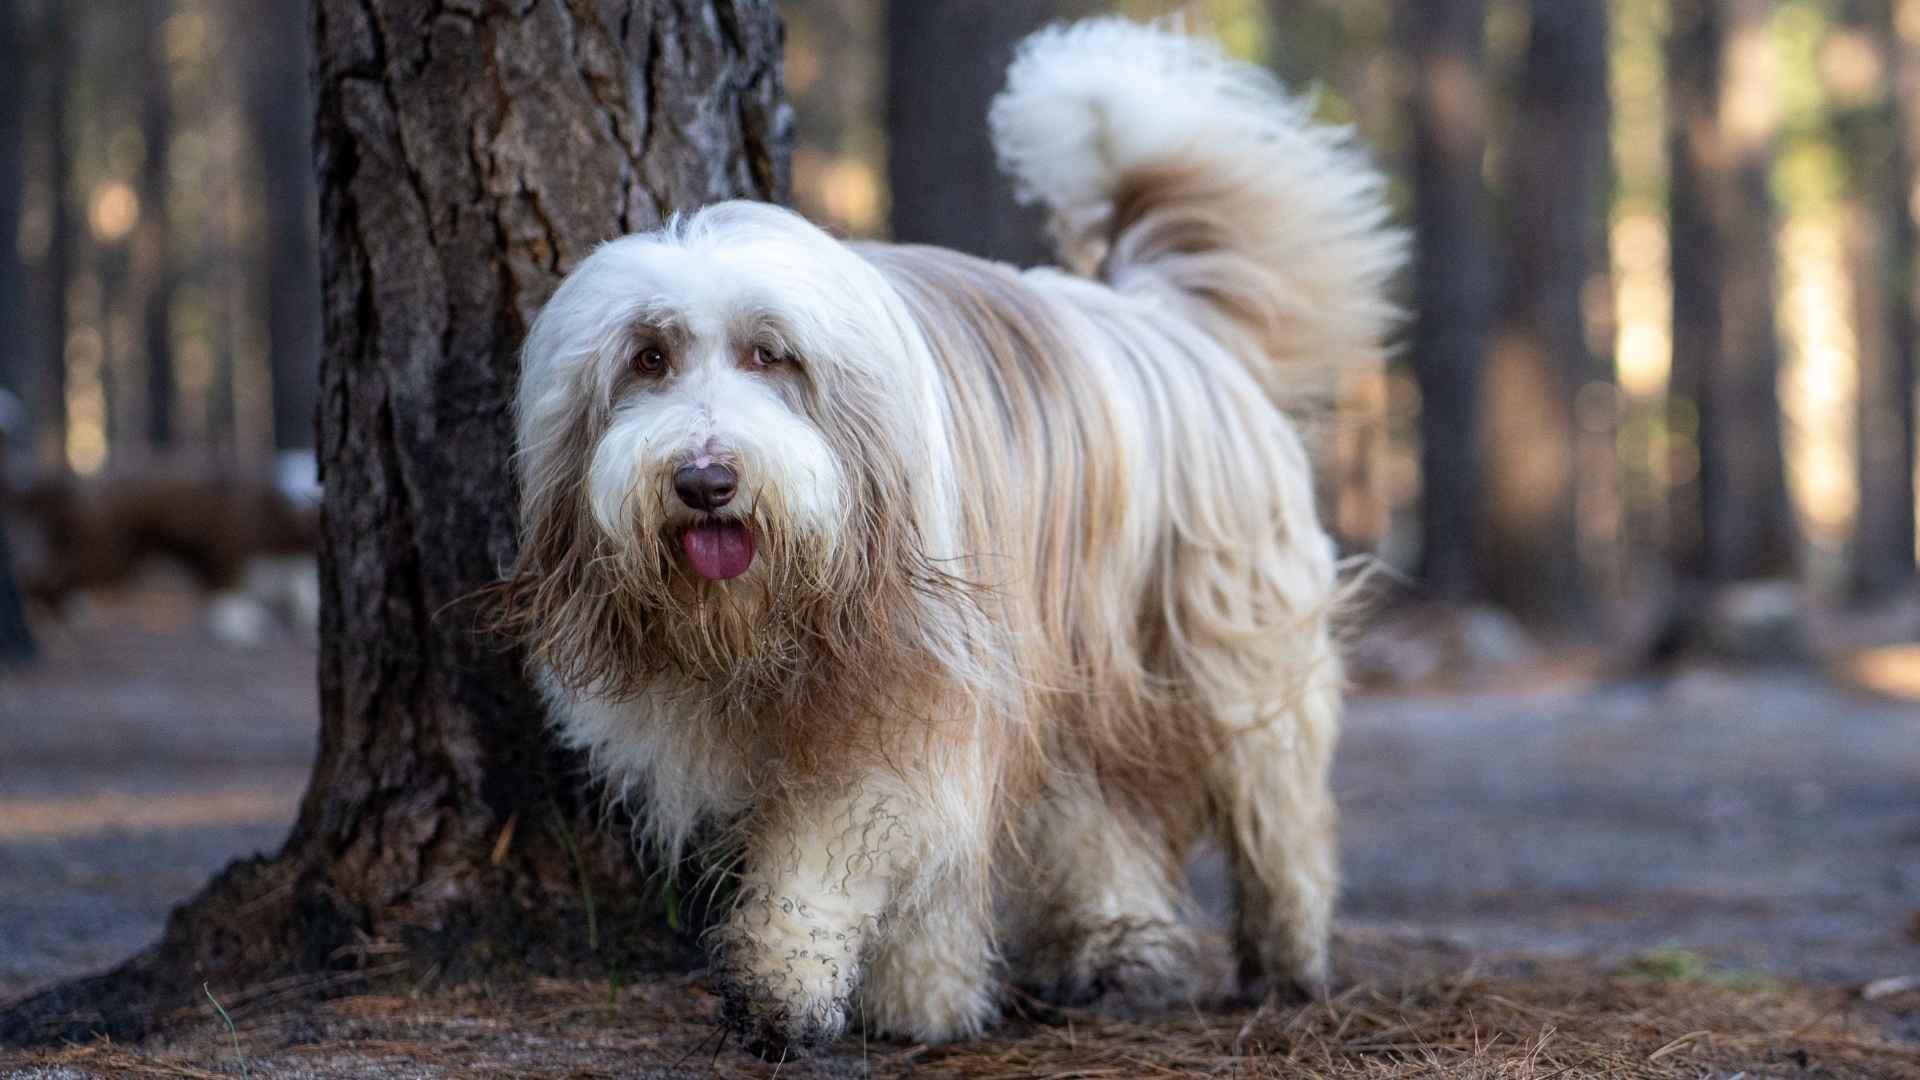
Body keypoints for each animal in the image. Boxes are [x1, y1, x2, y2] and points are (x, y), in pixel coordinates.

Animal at [503, 16, 1405, 1053]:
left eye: (771, 354)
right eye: (647, 357)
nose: (704, 480)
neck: (787, 605)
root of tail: (1160, 318)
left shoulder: (917, 695)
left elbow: (836, 853)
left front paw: (789, 988)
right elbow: (924, 873)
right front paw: (922, 1000)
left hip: (1227, 637)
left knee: (1279, 802)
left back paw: (1290, 957)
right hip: (1080, 659)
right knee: (1103, 811)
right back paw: (1116, 952)